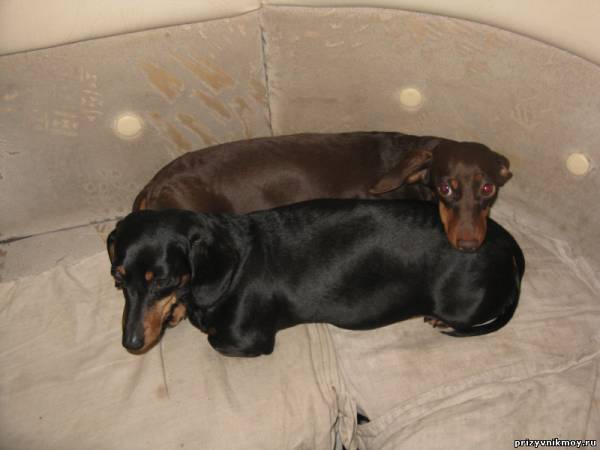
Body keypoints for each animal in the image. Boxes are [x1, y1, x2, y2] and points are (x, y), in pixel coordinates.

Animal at [108, 199, 525, 355]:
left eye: (161, 280)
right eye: (118, 280)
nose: (130, 344)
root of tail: (506, 243)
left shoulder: (249, 340)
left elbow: (212, 337)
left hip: (460, 306)